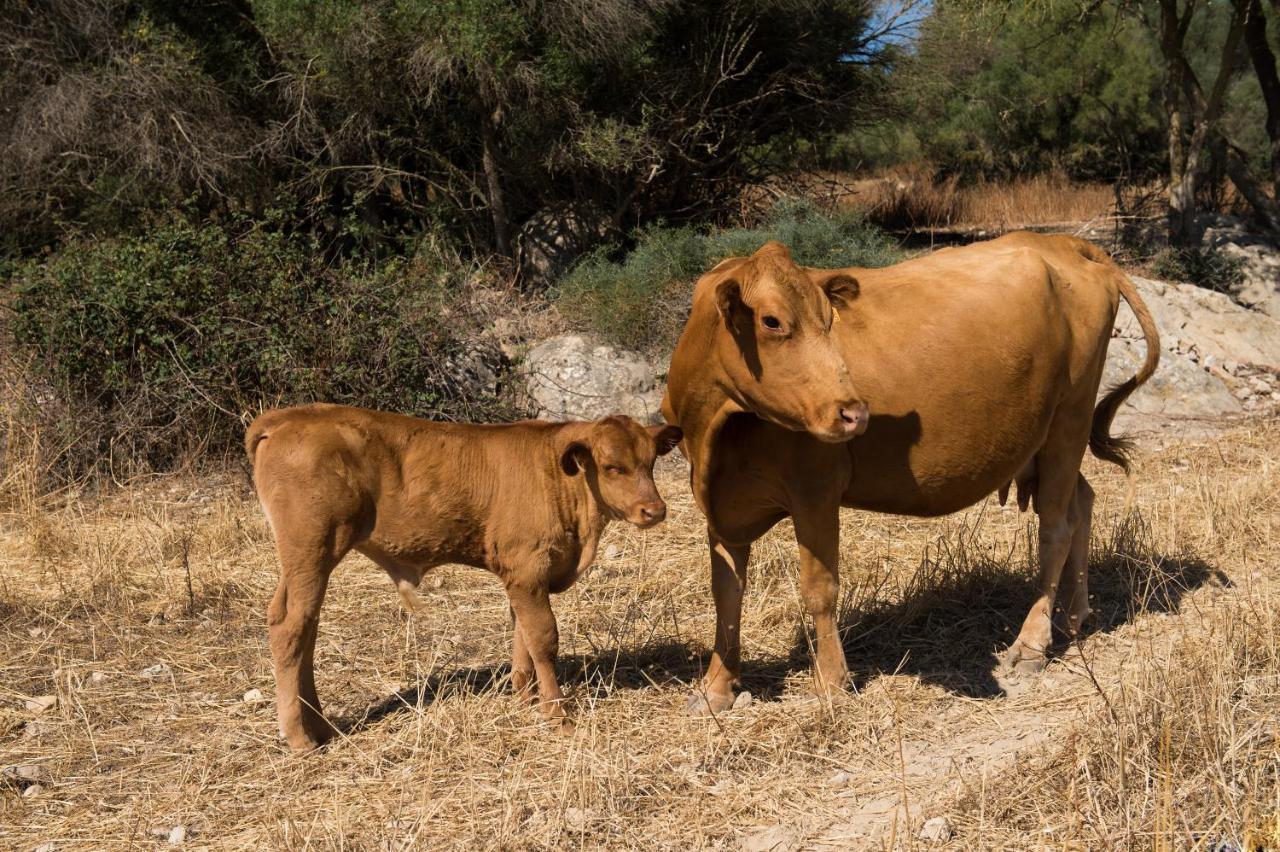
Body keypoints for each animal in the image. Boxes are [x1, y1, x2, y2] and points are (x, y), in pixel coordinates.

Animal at [241, 401, 680, 747]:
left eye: (650, 462)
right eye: (611, 467)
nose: (654, 510)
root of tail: (287, 417)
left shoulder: (522, 577)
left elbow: (522, 634)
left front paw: (524, 697)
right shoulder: (528, 566)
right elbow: (543, 638)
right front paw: (556, 713)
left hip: (305, 562)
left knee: (302, 627)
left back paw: (321, 725)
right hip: (311, 549)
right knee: (292, 628)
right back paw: (299, 737)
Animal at [665, 230, 1167, 711]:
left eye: (829, 320)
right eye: (771, 321)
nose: (854, 413)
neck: (717, 431)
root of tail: (1062, 244)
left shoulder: (815, 489)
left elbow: (819, 589)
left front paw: (832, 684)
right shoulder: (720, 501)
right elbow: (726, 591)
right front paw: (716, 689)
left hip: (1070, 416)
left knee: (1056, 528)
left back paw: (1031, 645)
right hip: (1045, 440)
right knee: (1082, 503)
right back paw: (1074, 616)